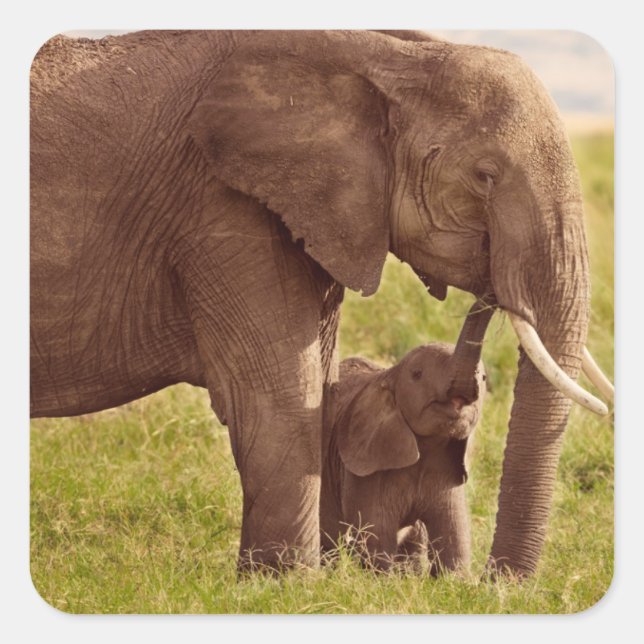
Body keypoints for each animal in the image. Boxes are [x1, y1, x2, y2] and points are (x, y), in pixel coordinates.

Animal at [320, 300, 490, 574]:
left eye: (484, 379)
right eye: (417, 374)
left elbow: (454, 538)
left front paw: (454, 580)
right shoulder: (366, 470)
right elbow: (377, 536)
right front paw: (381, 578)